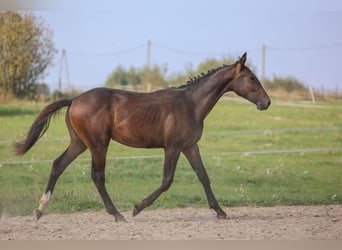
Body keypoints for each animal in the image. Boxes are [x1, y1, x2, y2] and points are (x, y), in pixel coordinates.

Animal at [14, 52, 270, 221]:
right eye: (251, 77)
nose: (266, 102)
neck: (190, 104)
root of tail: (74, 99)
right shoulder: (172, 147)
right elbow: (167, 181)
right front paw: (137, 207)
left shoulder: (190, 146)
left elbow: (203, 177)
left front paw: (220, 211)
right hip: (98, 144)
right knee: (97, 176)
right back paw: (117, 214)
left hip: (79, 144)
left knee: (58, 165)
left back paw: (39, 210)